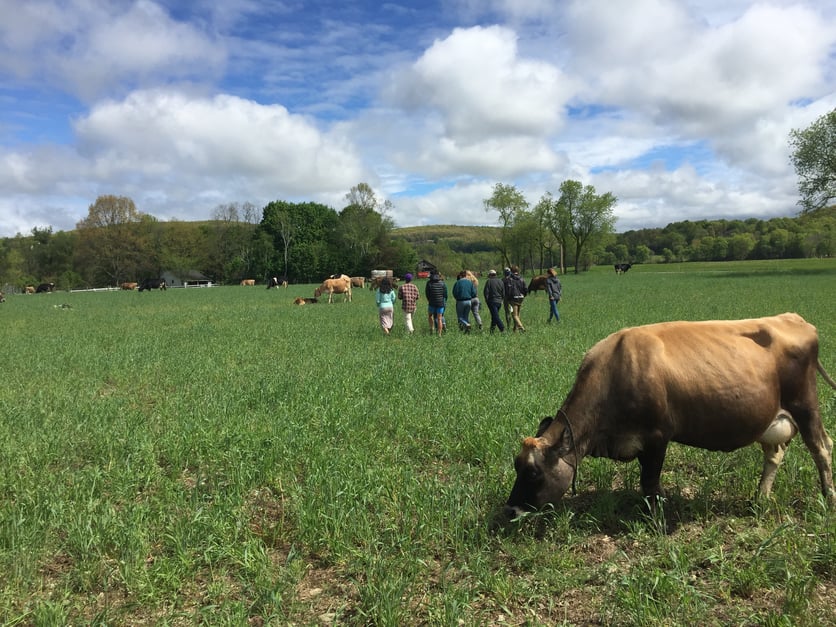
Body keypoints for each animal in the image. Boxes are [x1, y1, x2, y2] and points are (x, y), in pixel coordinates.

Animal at [506, 316, 832, 516]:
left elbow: (650, 482)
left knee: (822, 448)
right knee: (775, 454)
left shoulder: (657, 437)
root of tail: (794, 319)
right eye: (516, 466)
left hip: (805, 406)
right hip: (771, 419)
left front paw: (657, 517)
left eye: (533, 472)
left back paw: (829, 498)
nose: (509, 509)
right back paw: (759, 499)